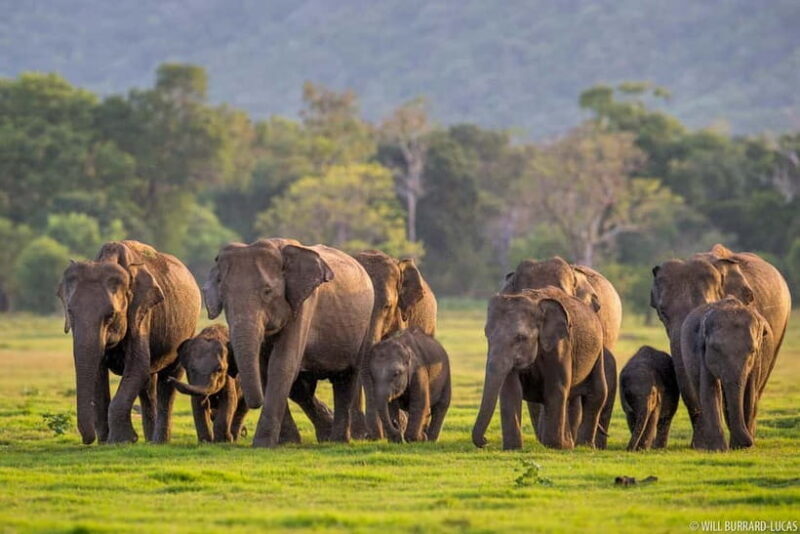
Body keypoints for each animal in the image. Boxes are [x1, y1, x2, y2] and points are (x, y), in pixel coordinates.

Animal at [57, 240, 201, 444]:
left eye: (111, 315)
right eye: (70, 312)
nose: (88, 440)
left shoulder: (141, 312)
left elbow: (137, 366)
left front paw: (122, 441)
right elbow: (99, 372)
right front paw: (105, 442)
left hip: (188, 329)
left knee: (168, 378)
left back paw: (158, 442)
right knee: (148, 383)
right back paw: (150, 441)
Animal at [203, 238, 374, 447]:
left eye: (267, 291)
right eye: (223, 295)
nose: (212, 411)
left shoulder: (304, 304)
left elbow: (282, 364)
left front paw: (262, 444)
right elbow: (265, 368)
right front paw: (287, 442)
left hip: (364, 325)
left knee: (346, 378)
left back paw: (337, 441)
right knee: (303, 388)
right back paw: (325, 434)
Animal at [472, 287, 607, 450]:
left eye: (520, 338)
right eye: (487, 335)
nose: (486, 441)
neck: (535, 303)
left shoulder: (561, 345)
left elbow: (556, 387)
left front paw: (555, 446)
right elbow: (511, 389)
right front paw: (513, 448)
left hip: (598, 351)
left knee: (597, 393)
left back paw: (583, 446)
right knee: (571, 398)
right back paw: (570, 444)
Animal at [680, 296, 775, 450]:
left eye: (752, 351)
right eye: (715, 348)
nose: (748, 442)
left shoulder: (757, 359)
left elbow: (749, 391)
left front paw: (741, 447)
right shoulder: (702, 351)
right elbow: (710, 389)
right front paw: (717, 449)